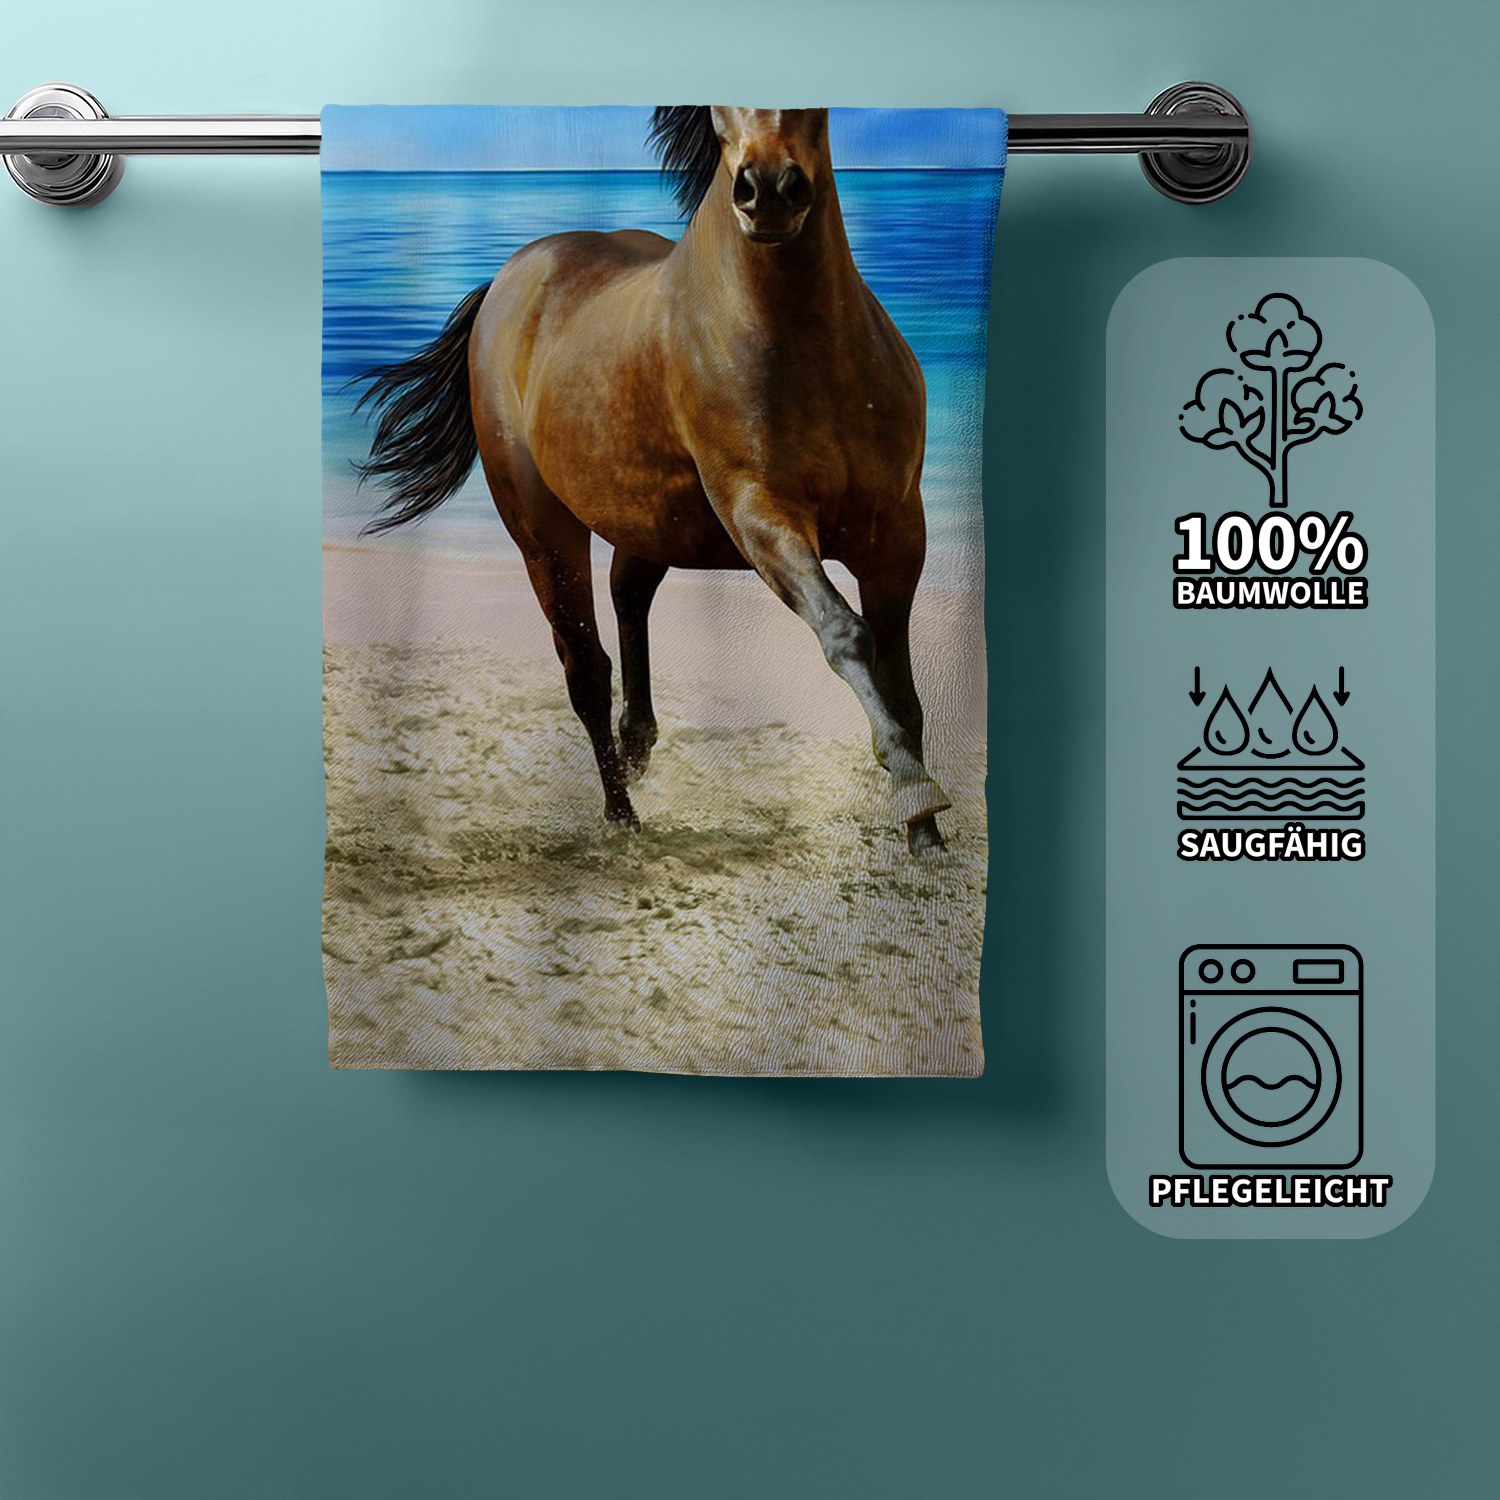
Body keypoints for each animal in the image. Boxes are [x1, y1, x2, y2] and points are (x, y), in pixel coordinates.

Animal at [355, 106, 952, 854]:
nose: (769, 190)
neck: (811, 352)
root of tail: (507, 280)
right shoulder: (762, 517)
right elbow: (847, 635)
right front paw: (914, 791)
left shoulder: (899, 531)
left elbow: (902, 683)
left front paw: (928, 836)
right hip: (542, 532)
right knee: (585, 667)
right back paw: (622, 817)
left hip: (651, 521)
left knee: (627, 593)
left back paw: (637, 746)